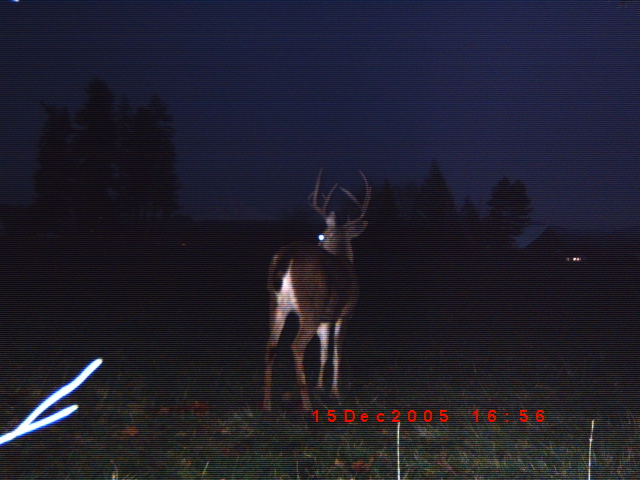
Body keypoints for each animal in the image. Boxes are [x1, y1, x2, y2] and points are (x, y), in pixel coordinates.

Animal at [260, 169, 370, 412]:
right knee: (296, 346)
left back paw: (267, 404)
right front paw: (334, 391)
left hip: (276, 304)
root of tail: (287, 256)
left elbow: (324, 350)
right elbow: (337, 351)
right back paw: (307, 405)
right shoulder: (345, 312)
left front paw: (320, 386)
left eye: (321, 234)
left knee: (270, 344)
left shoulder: (326, 318)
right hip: (310, 305)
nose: (320, 244)